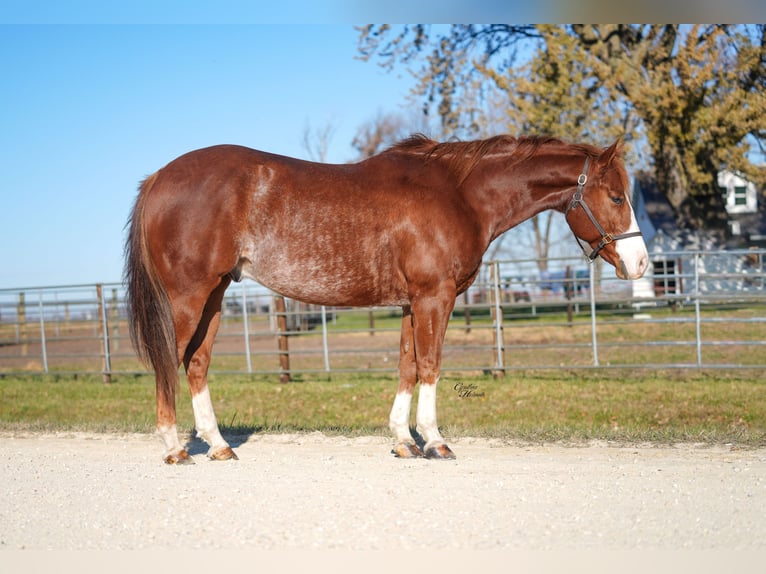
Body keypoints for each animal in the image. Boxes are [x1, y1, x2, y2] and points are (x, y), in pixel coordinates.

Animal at [124, 134, 648, 464]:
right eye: (616, 196)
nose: (641, 263)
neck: (459, 195)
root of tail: (158, 177)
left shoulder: (411, 303)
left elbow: (407, 367)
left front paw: (403, 441)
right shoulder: (434, 297)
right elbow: (431, 365)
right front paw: (435, 441)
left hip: (214, 295)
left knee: (196, 363)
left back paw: (217, 445)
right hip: (189, 297)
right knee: (169, 362)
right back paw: (174, 449)